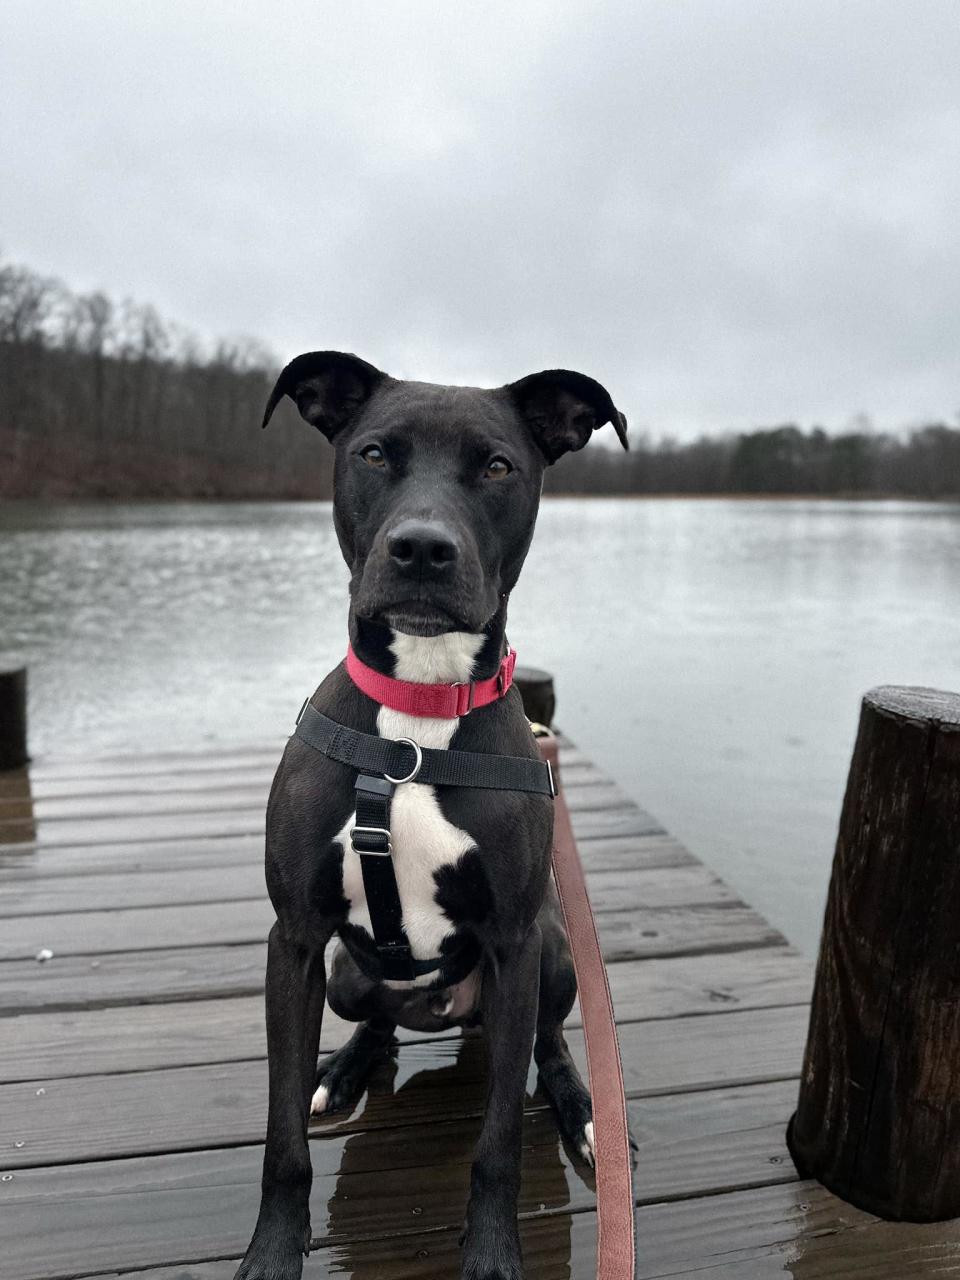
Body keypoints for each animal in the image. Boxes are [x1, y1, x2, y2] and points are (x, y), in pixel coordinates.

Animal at [236, 353, 632, 1280]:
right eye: (375, 453)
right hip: (346, 970)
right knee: (377, 1018)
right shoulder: (295, 940)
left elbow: (497, 1145)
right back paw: (346, 1068)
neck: (416, 718)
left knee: (549, 1045)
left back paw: (583, 1109)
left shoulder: (515, 943)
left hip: (554, 956)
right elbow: (281, 1140)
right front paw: (271, 1253)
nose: (421, 548)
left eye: (497, 467)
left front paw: (491, 1254)